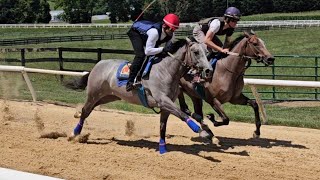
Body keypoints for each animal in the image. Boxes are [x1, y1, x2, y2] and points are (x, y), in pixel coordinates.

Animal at [65, 38, 214, 154]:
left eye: (207, 52)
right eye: (196, 52)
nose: (208, 71)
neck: (166, 71)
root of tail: (96, 66)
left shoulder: (166, 106)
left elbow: (163, 126)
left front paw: (162, 148)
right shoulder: (163, 100)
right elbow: (182, 114)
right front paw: (202, 132)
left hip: (108, 97)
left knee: (88, 110)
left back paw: (77, 118)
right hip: (94, 94)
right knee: (86, 110)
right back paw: (74, 133)